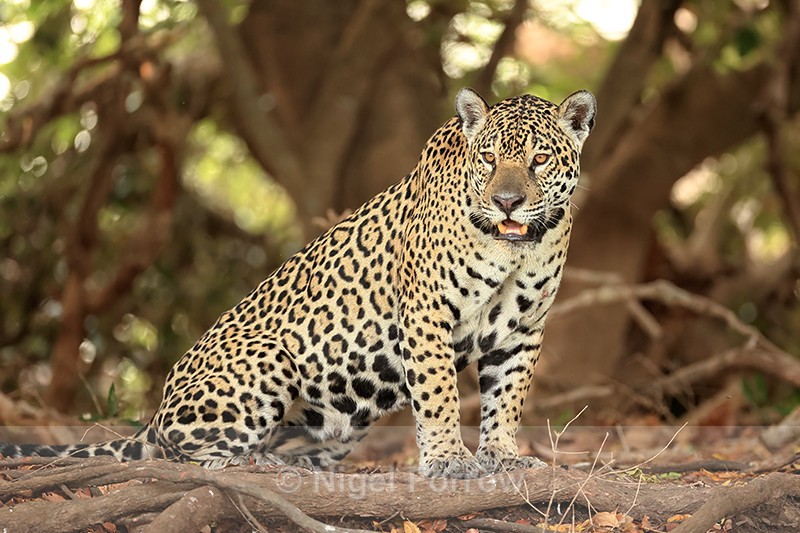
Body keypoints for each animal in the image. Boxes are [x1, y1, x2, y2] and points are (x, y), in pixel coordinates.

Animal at [1, 87, 596, 478]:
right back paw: (254, 462)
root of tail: (156, 412)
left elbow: (508, 397)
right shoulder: (427, 313)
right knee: (181, 451)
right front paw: (449, 459)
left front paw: (503, 456)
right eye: (488, 158)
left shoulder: (523, 329)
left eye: (540, 159)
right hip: (267, 365)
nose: (506, 201)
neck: (514, 247)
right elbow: (439, 393)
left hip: (346, 422)